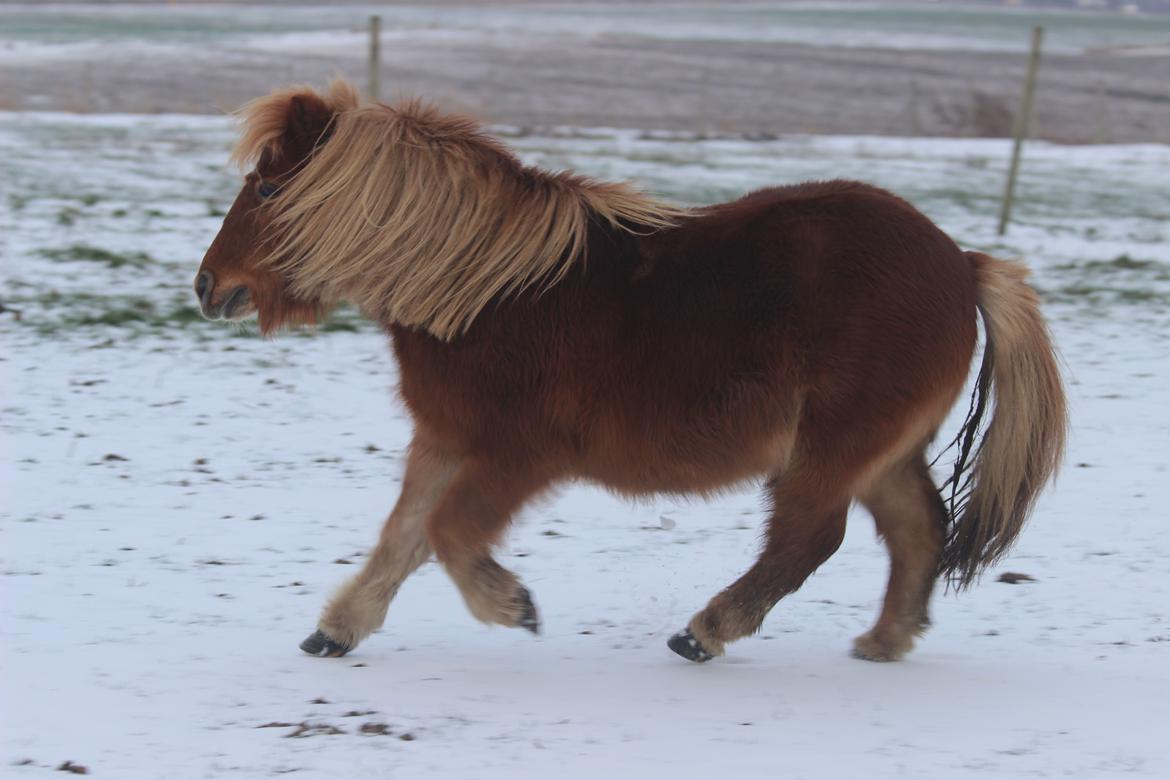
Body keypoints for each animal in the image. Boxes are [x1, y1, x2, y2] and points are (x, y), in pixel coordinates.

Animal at [196, 80, 1067, 664]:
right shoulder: (445, 440)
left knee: (811, 540)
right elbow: (403, 535)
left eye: (267, 187)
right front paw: (337, 630)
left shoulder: (516, 456)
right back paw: (883, 642)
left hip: (834, 450)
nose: (207, 287)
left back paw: (705, 633)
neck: (482, 293)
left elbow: (446, 534)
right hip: (880, 452)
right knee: (918, 530)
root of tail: (965, 262)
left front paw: (510, 606)